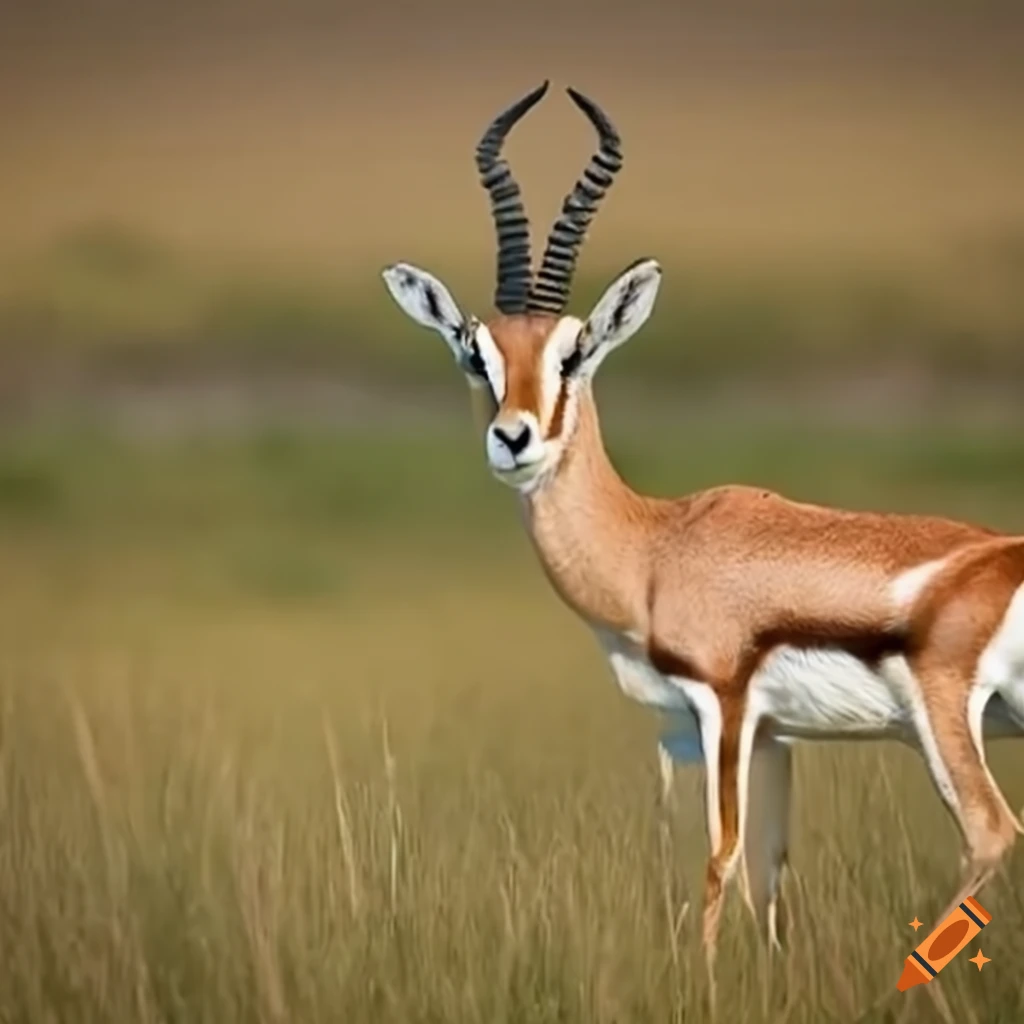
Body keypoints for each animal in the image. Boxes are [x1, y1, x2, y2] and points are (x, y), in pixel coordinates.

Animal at [380, 81, 1024, 1002]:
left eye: (575, 353)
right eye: (477, 353)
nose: (514, 438)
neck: (655, 547)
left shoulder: (722, 705)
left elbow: (720, 858)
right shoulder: (766, 735)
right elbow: (768, 874)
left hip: (944, 720)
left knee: (990, 832)